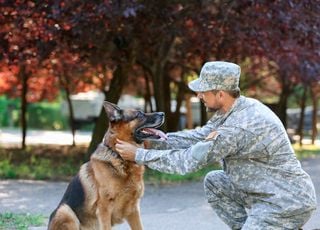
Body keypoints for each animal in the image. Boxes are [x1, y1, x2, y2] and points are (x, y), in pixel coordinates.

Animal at [49, 102, 165, 230]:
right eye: (139, 114)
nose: (163, 113)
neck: (119, 157)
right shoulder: (104, 210)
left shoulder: (133, 210)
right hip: (65, 211)